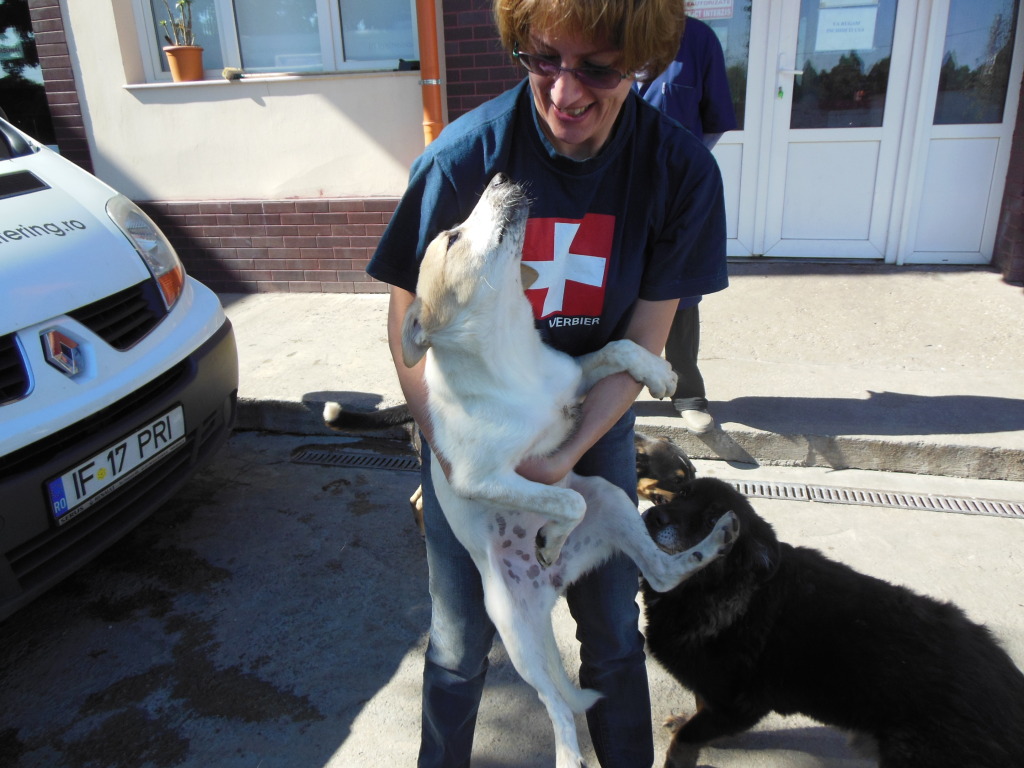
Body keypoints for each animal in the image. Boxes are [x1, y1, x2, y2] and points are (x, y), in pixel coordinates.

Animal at [638, 479, 1024, 768]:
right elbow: (700, 714)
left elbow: (686, 740)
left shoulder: (740, 706)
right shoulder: (716, 697)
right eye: (683, 494)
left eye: (713, 521)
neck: (721, 590)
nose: (652, 516)